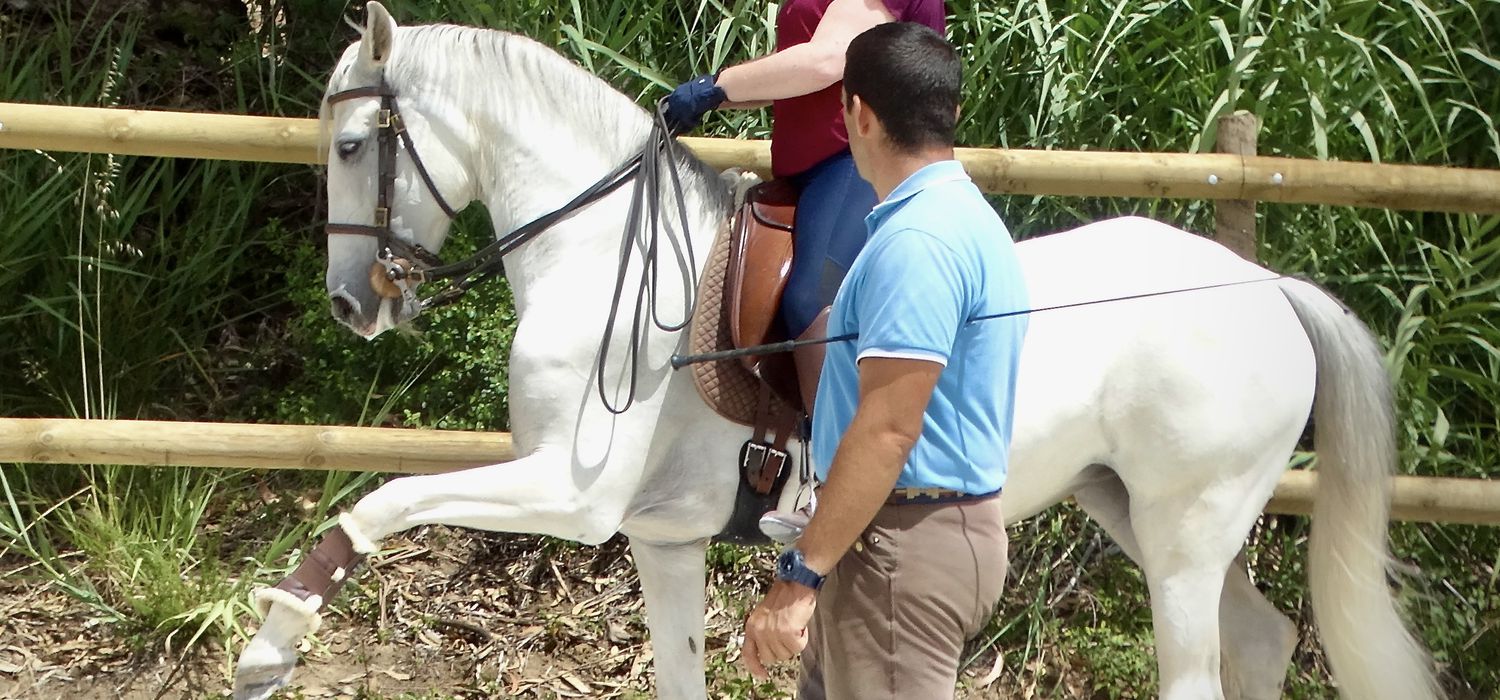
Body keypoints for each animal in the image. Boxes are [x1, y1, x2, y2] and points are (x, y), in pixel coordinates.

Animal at [237, 6, 1440, 700]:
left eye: (356, 145)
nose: (350, 303)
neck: (599, 253)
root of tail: (1266, 287)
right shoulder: (659, 538)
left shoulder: (568, 494)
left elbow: (385, 498)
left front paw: (273, 644)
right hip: (1136, 509)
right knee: (1261, 639)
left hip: (1184, 530)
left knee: (1202, 665)